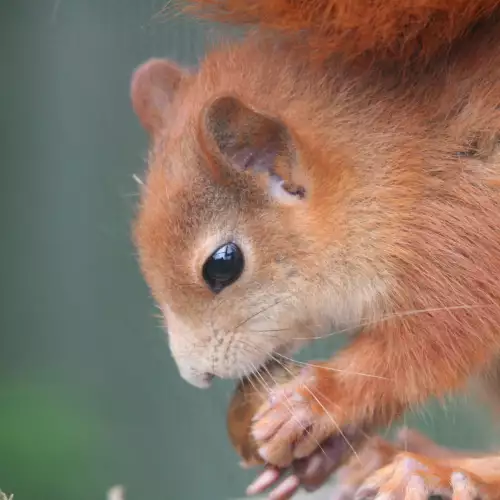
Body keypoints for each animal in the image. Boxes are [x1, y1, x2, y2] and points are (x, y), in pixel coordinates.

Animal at [131, 0, 500, 498]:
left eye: (223, 265)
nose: (196, 376)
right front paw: (320, 454)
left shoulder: (466, 236)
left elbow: (430, 347)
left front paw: (314, 400)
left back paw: (434, 471)